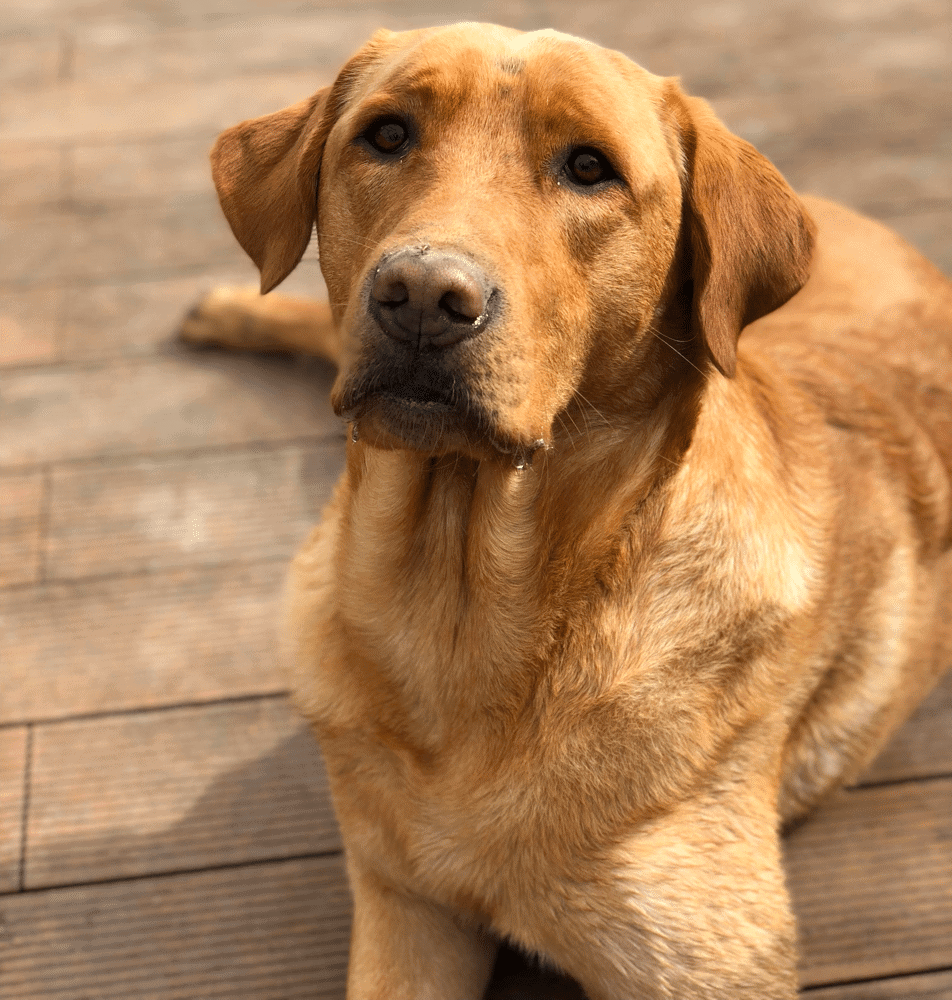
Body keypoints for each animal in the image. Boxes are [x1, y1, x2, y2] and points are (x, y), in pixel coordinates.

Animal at [184, 23, 952, 1000]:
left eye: (589, 167)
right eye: (386, 135)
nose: (423, 295)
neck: (459, 610)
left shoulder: (706, 965)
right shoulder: (403, 905)